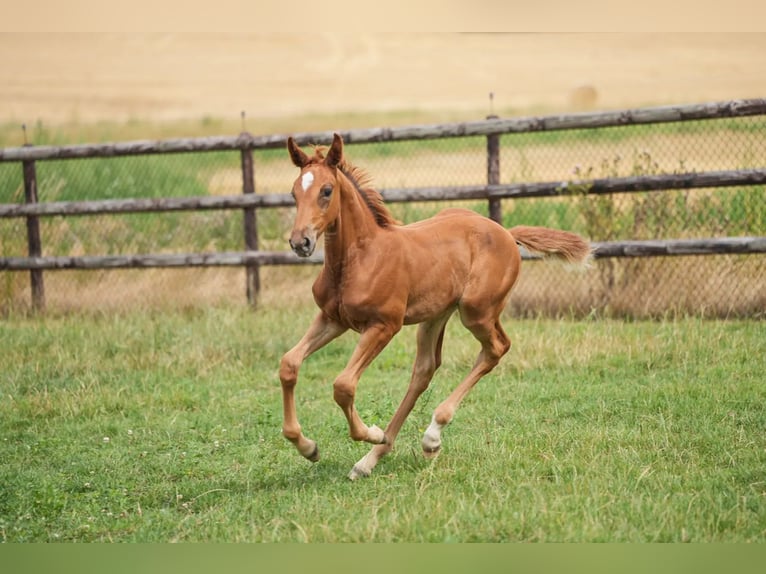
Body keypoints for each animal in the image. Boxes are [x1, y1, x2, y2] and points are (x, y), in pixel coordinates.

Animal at [279, 133, 591, 480]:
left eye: (326, 190)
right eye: (293, 192)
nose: (300, 242)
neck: (361, 257)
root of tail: (507, 233)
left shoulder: (384, 325)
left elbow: (343, 385)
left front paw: (371, 432)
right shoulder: (332, 319)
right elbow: (289, 364)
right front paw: (308, 447)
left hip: (476, 311)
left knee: (496, 348)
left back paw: (428, 436)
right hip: (436, 315)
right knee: (425, 369)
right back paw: (372, 459)